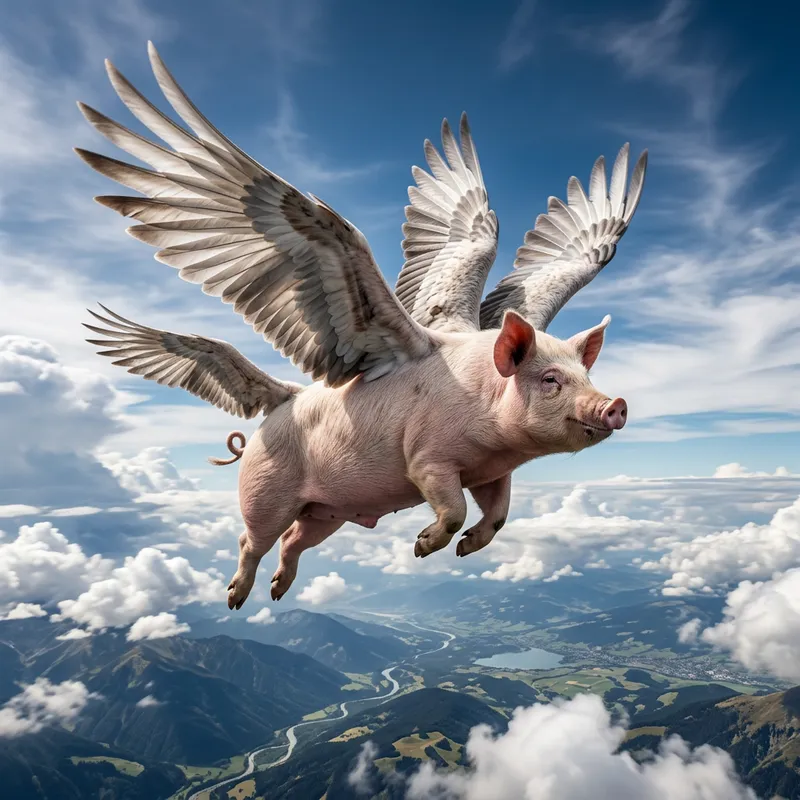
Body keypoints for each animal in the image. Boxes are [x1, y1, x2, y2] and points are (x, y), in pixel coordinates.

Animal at [78, 43, 646, 609]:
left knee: (294, 539)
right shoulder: (428, 456)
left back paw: (278, 594)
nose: (615, 403)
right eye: (550, 379)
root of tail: (281, 400)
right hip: (264, 488)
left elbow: (500, 514)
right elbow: (452, 504)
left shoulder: (495, 470)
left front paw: (465, 549)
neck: (491, 420)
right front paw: (423, 546)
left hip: (327, 509)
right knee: (251, 537)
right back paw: (237, 599)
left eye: (586, 373)